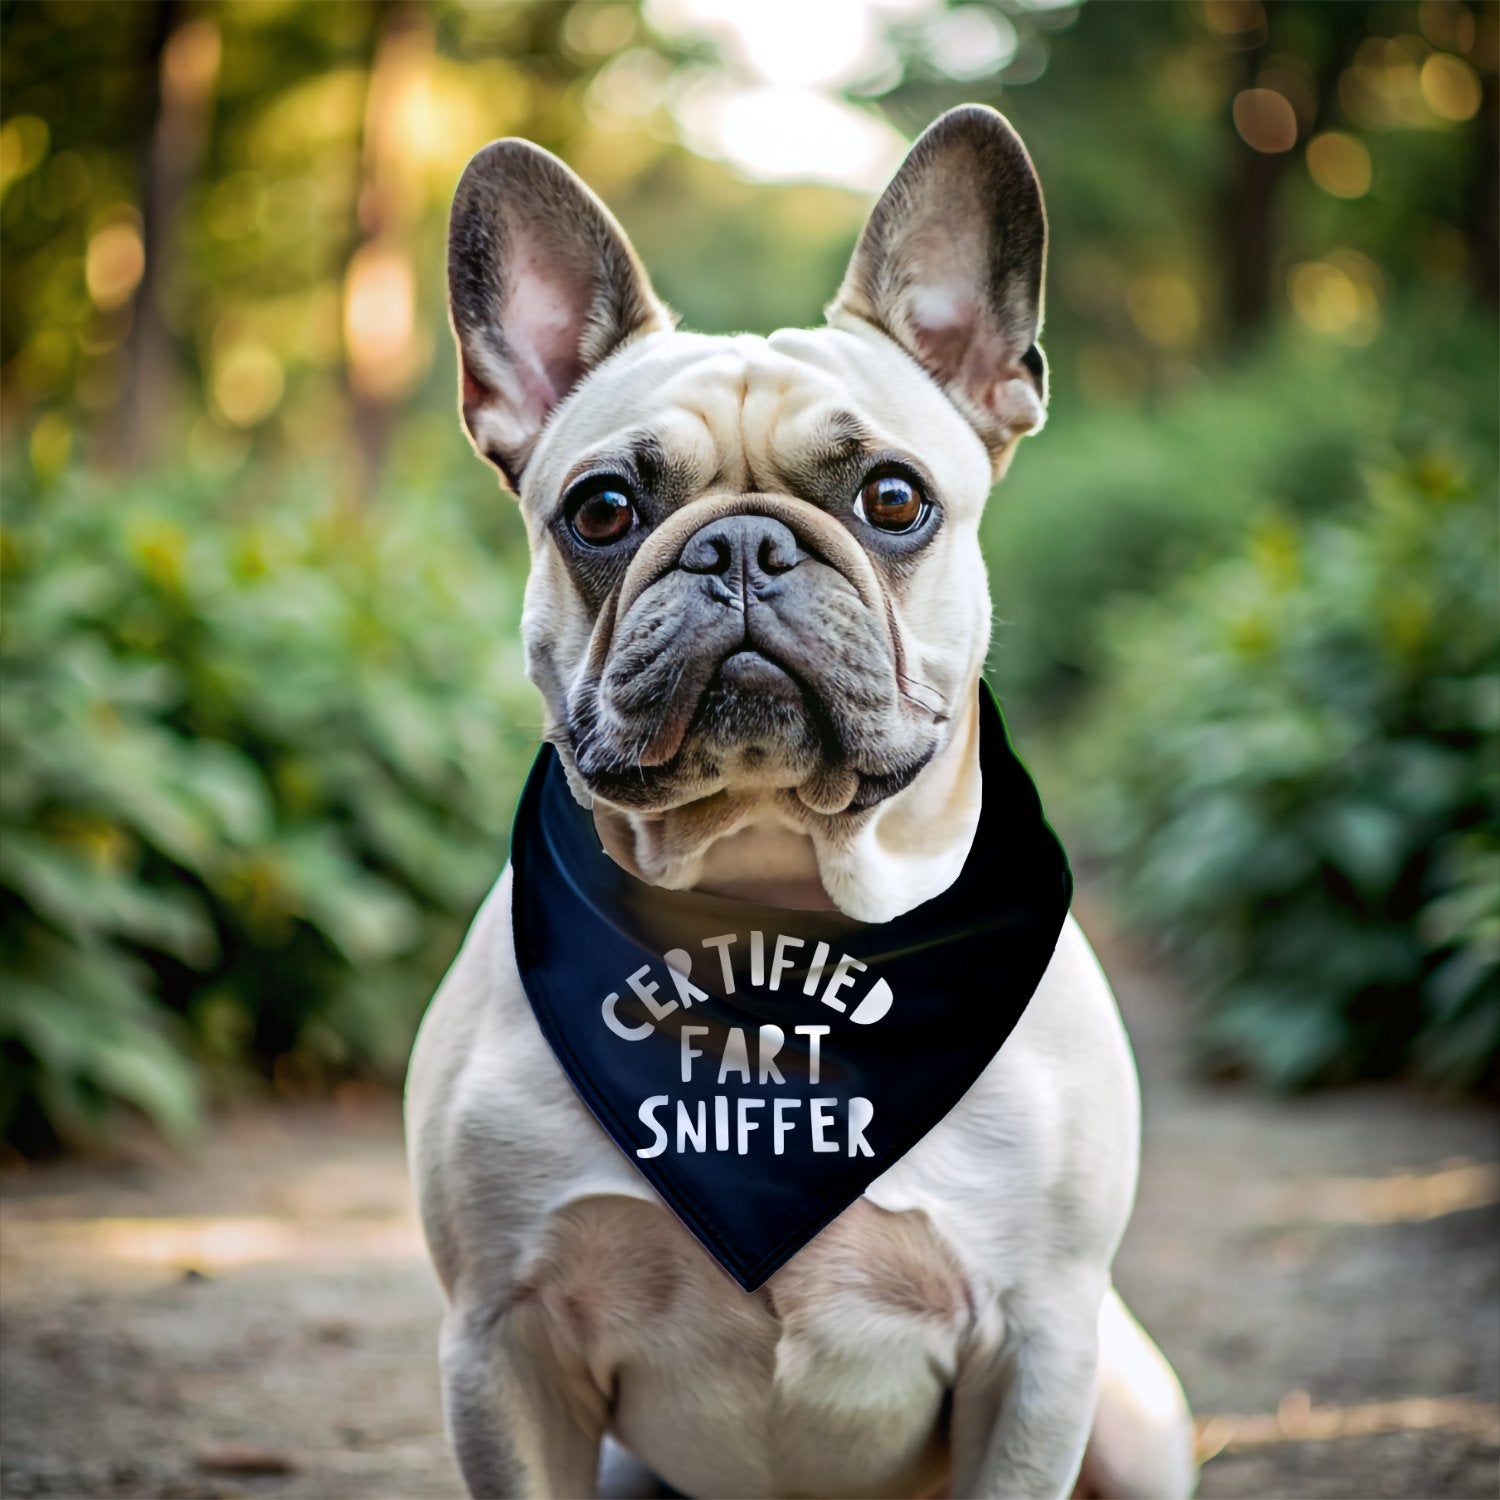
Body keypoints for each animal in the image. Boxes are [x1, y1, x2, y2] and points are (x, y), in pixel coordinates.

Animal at [408, 108, 1194, 1500]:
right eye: (601, 510)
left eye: (894, 498)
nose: (741, 546)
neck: (768, 906)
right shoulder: (501, 1343)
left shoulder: (1041, 1345)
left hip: (1134, 1410)